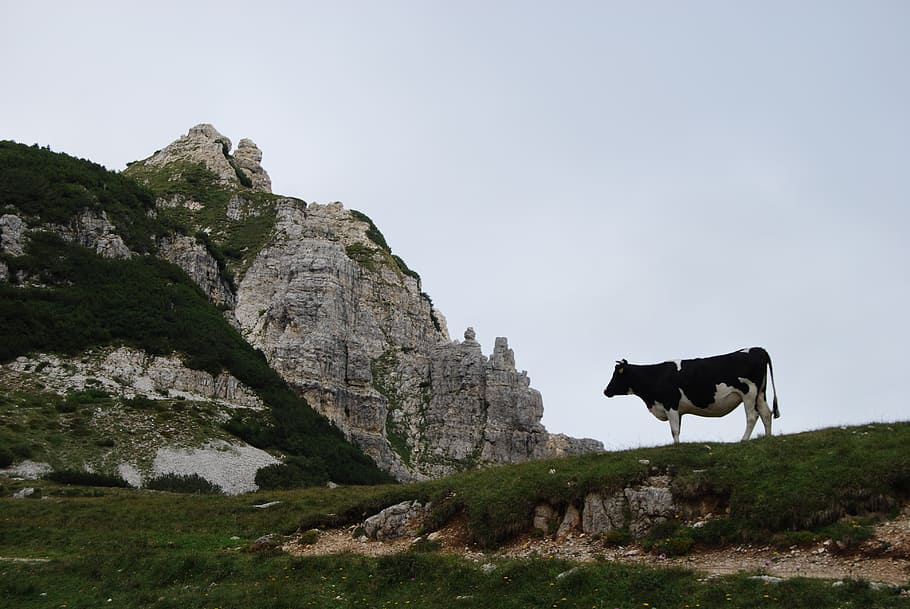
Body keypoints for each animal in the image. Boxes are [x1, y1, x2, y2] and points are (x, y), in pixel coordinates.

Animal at [603, 347, 779, 444]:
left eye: (616, 375)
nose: (605, 391)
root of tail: (758, 349)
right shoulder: (677, 409)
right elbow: (677, 429)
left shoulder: (670, 404)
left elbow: (674, 430)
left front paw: (676, 446)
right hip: (760, 393)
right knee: (766, 413)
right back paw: (768, 438)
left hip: (749, 392)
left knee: (752, 416)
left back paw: (744, 440)